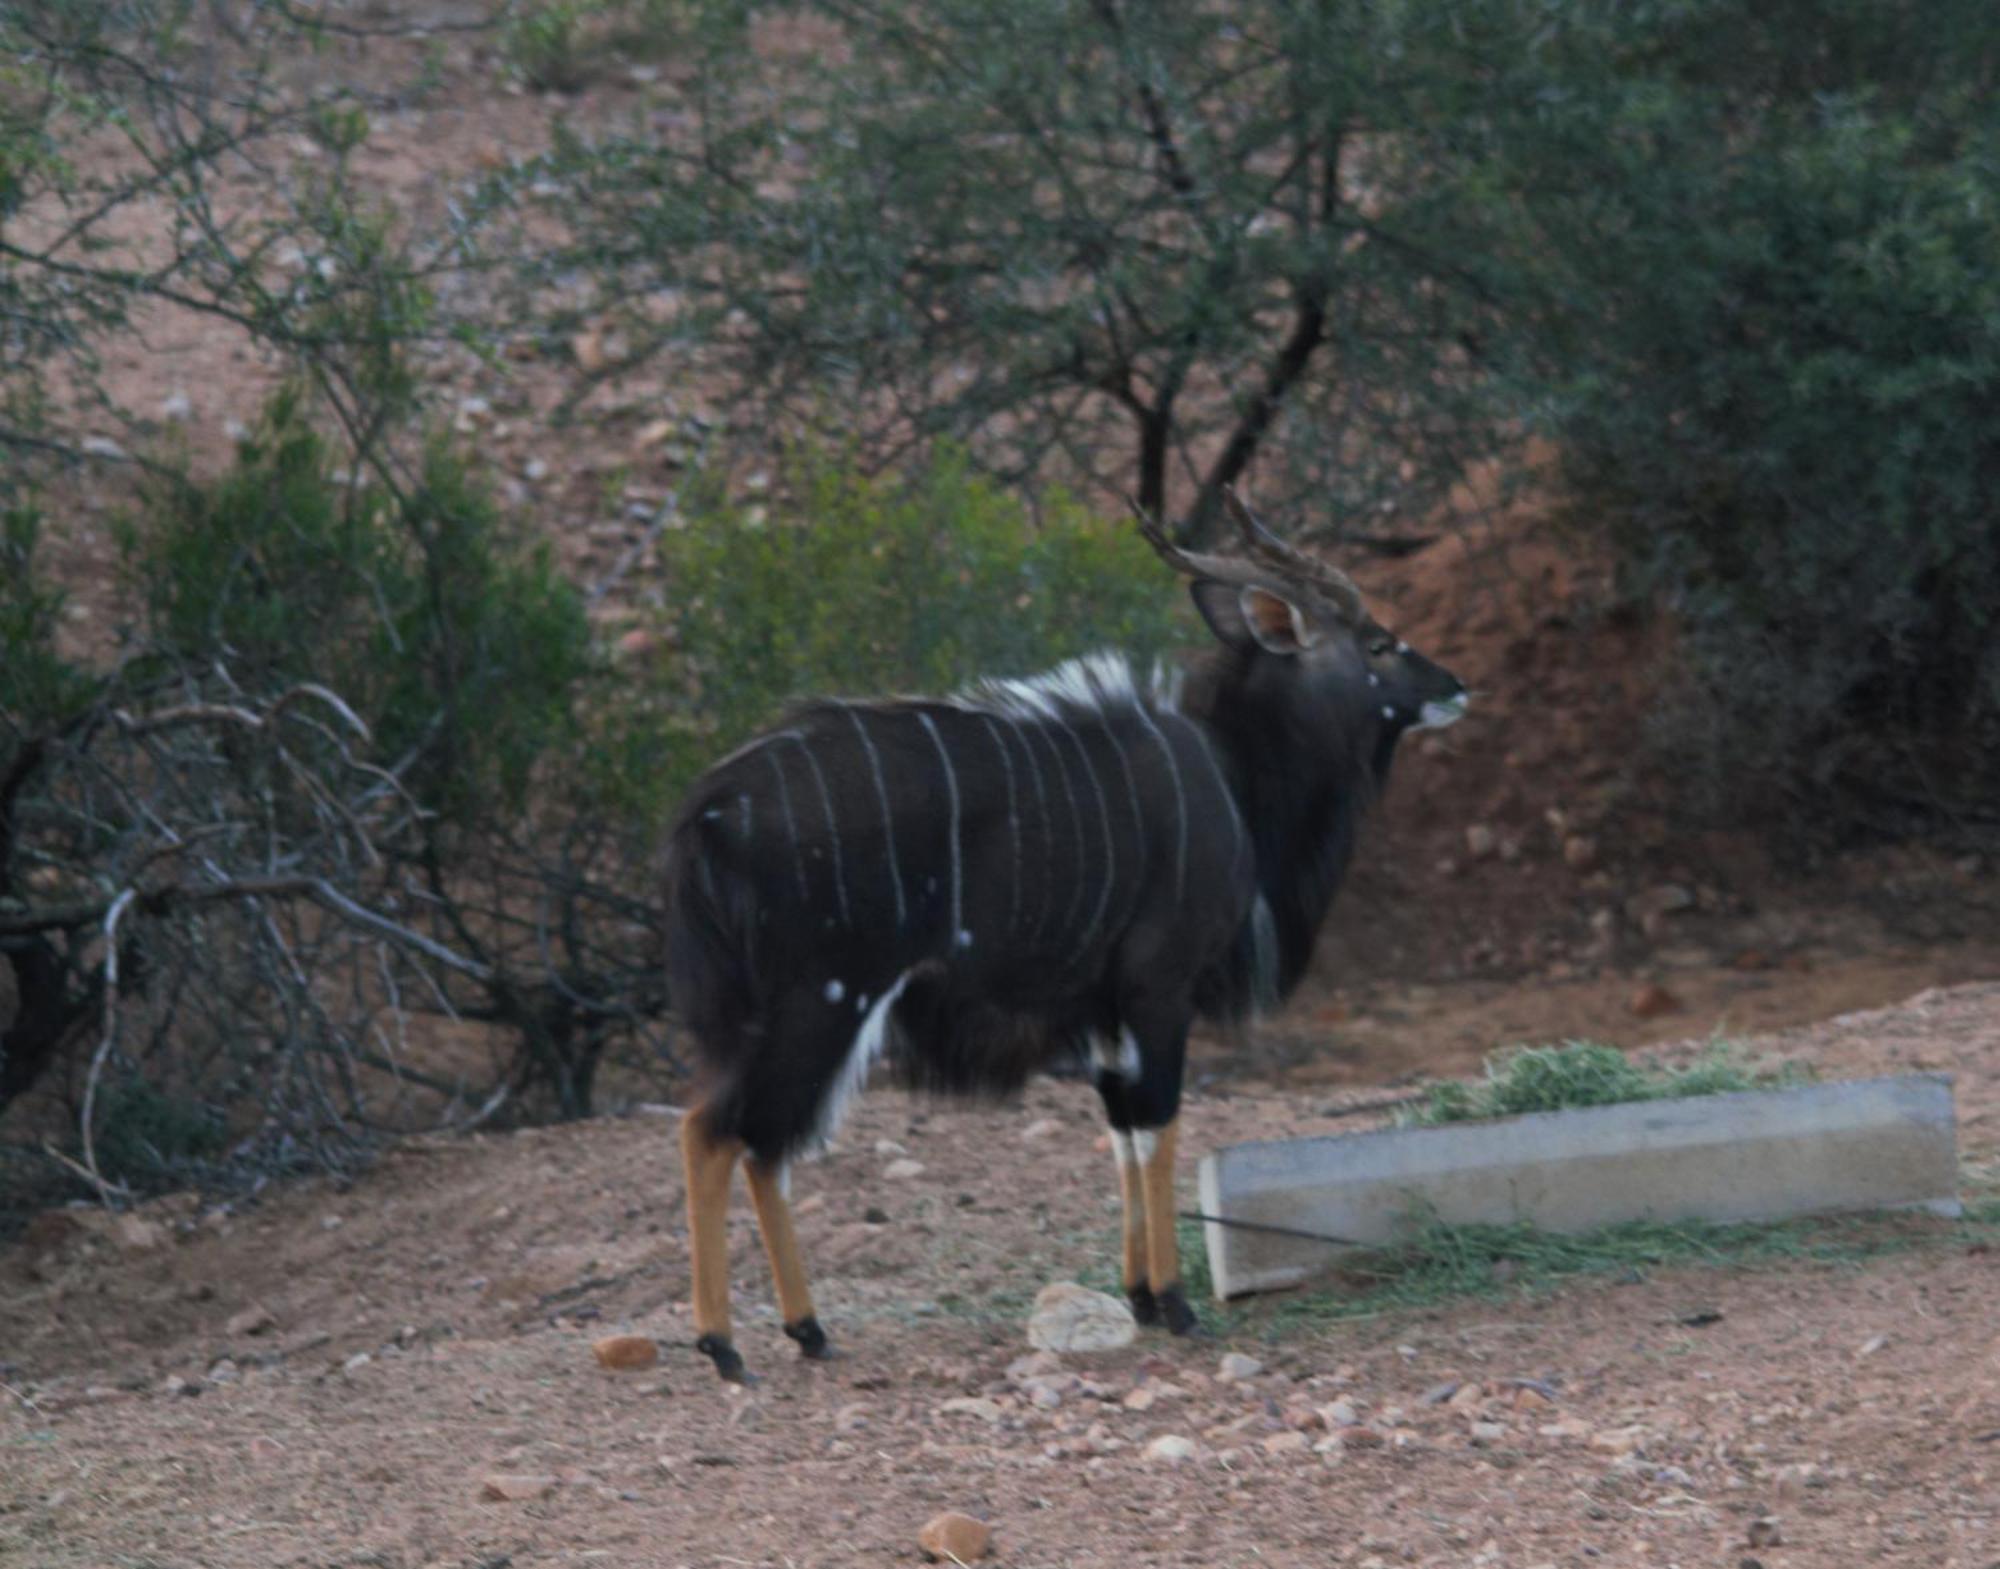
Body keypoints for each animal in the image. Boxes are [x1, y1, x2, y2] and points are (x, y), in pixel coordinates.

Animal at [664, 496, 1464, 1376]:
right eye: (1380, 643)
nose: (1456, 686)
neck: (1232, 775)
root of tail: (710, 812)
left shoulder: (1103, 1008)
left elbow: (1120, 1128)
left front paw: (1139, 1296)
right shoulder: (1159, 986)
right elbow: (1158, 1120)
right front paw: (1177, 1303)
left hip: (770, 1012)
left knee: (745, 1136)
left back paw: (801, 1329)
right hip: (827, 997)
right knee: (724, 1131)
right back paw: (726, 1342)